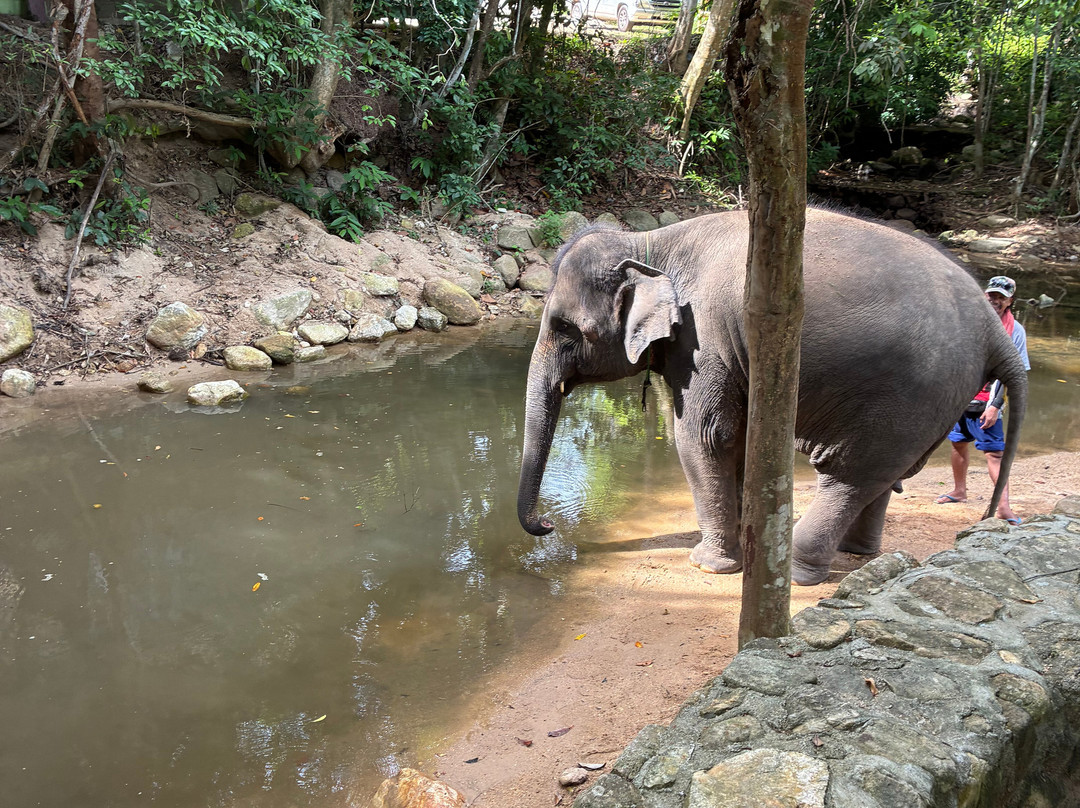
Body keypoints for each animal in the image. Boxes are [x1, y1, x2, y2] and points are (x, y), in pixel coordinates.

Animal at [516, 207, 1027, 586]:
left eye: (564, 328)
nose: (549, 525)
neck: (650, 242)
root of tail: (993, 330)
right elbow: (736, 438)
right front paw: (743, 540)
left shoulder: (705, 339)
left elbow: (704, 437)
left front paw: (709, 564)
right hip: (933, 400)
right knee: (886, 474)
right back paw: (856, 553)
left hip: (913, 392)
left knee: (850, 474)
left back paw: (799, 571)